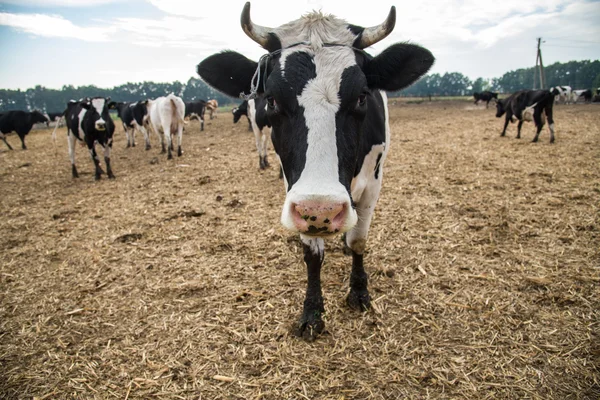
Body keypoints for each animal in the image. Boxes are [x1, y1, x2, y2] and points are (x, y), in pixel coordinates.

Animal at [199, 2, 434, 340]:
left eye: (361, 96)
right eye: (272, 99)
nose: (323, 210)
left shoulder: (374, 183)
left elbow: (359, 241)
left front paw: (359, 292)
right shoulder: (294, 191)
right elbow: (312, 254)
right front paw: (312, 312)